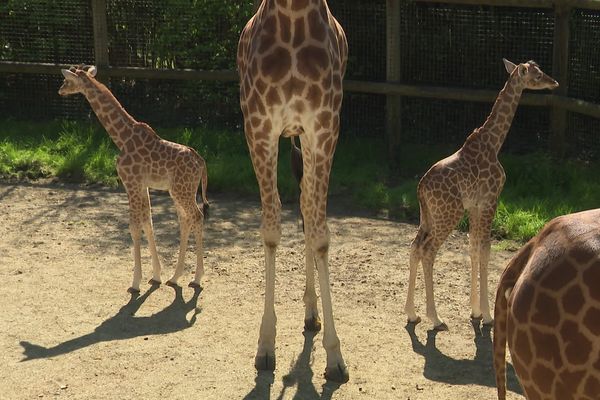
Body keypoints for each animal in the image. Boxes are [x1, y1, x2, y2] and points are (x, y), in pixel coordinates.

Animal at [58, 64, 209, 292]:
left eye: (67, 81)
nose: (60, 90)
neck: (121, 137)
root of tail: (201, 163)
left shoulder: (130, 182)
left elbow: (134, 227)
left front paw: (135, 282)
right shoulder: (142, 185)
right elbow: (148, 222)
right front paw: (155, 275)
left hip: (182, 191)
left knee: (197, 217)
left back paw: (197, 278)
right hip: (179, 191)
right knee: (185, 220)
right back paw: (174, 277)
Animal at [237, 0, 350, 382]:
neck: (293, 13)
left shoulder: (324, 126)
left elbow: (319, 234)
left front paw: (335, 356)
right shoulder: (259, 126)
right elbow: (271, 231)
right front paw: (265, 347)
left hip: (307, 137)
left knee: (307, 207)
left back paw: (312, 314)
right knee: (302, 205)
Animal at [406, 58, 560, 328]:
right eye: (538, 75)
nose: (554, 82)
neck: (494, 143)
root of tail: (421, 187)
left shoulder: (475, 205)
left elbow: (474, 247)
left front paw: (475, 311)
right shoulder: (490, 200)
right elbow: (486, 249)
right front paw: (488, 315)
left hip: (428, 216)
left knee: (415, 248)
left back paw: (412, 313)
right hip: (449, 215)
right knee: (428, 251)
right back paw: (435, 318)